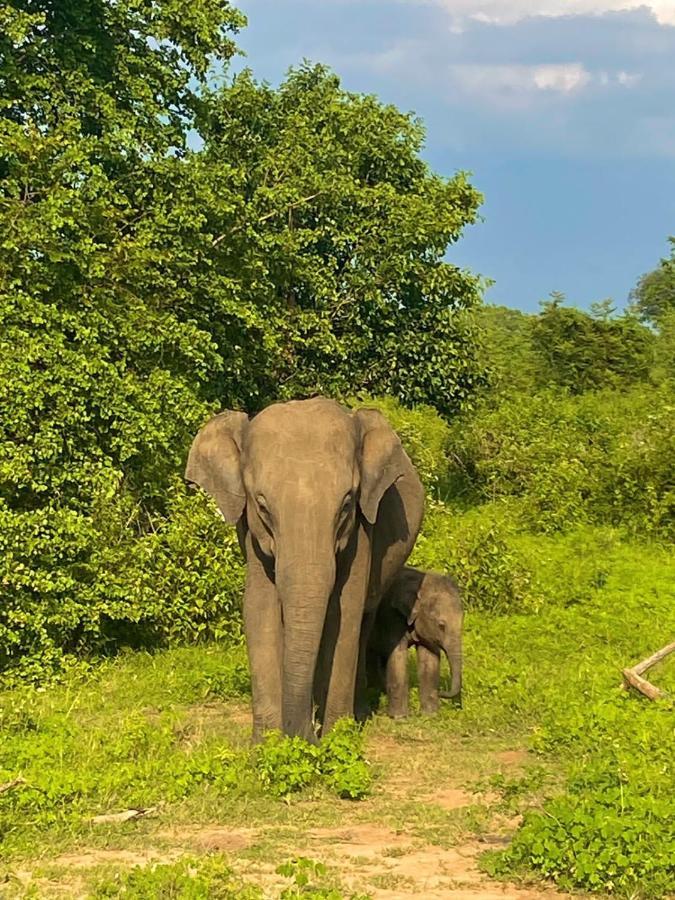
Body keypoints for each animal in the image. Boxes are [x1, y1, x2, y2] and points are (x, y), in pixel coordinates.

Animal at [186, 398, 422, 740]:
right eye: (262, 506)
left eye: (347, 504)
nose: (305, 734)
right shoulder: (252, 533)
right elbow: (259, 607)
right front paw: (267, 743)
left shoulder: (363, 529)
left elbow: (344, 612)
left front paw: (337, 737)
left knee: (364, 620)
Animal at [370, 568, 464, 716]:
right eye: (441, 625)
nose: (441, 692)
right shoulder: (392, 616)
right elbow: (397, 655)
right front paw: (399, 717)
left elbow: (429, 657)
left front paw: (430, 715)